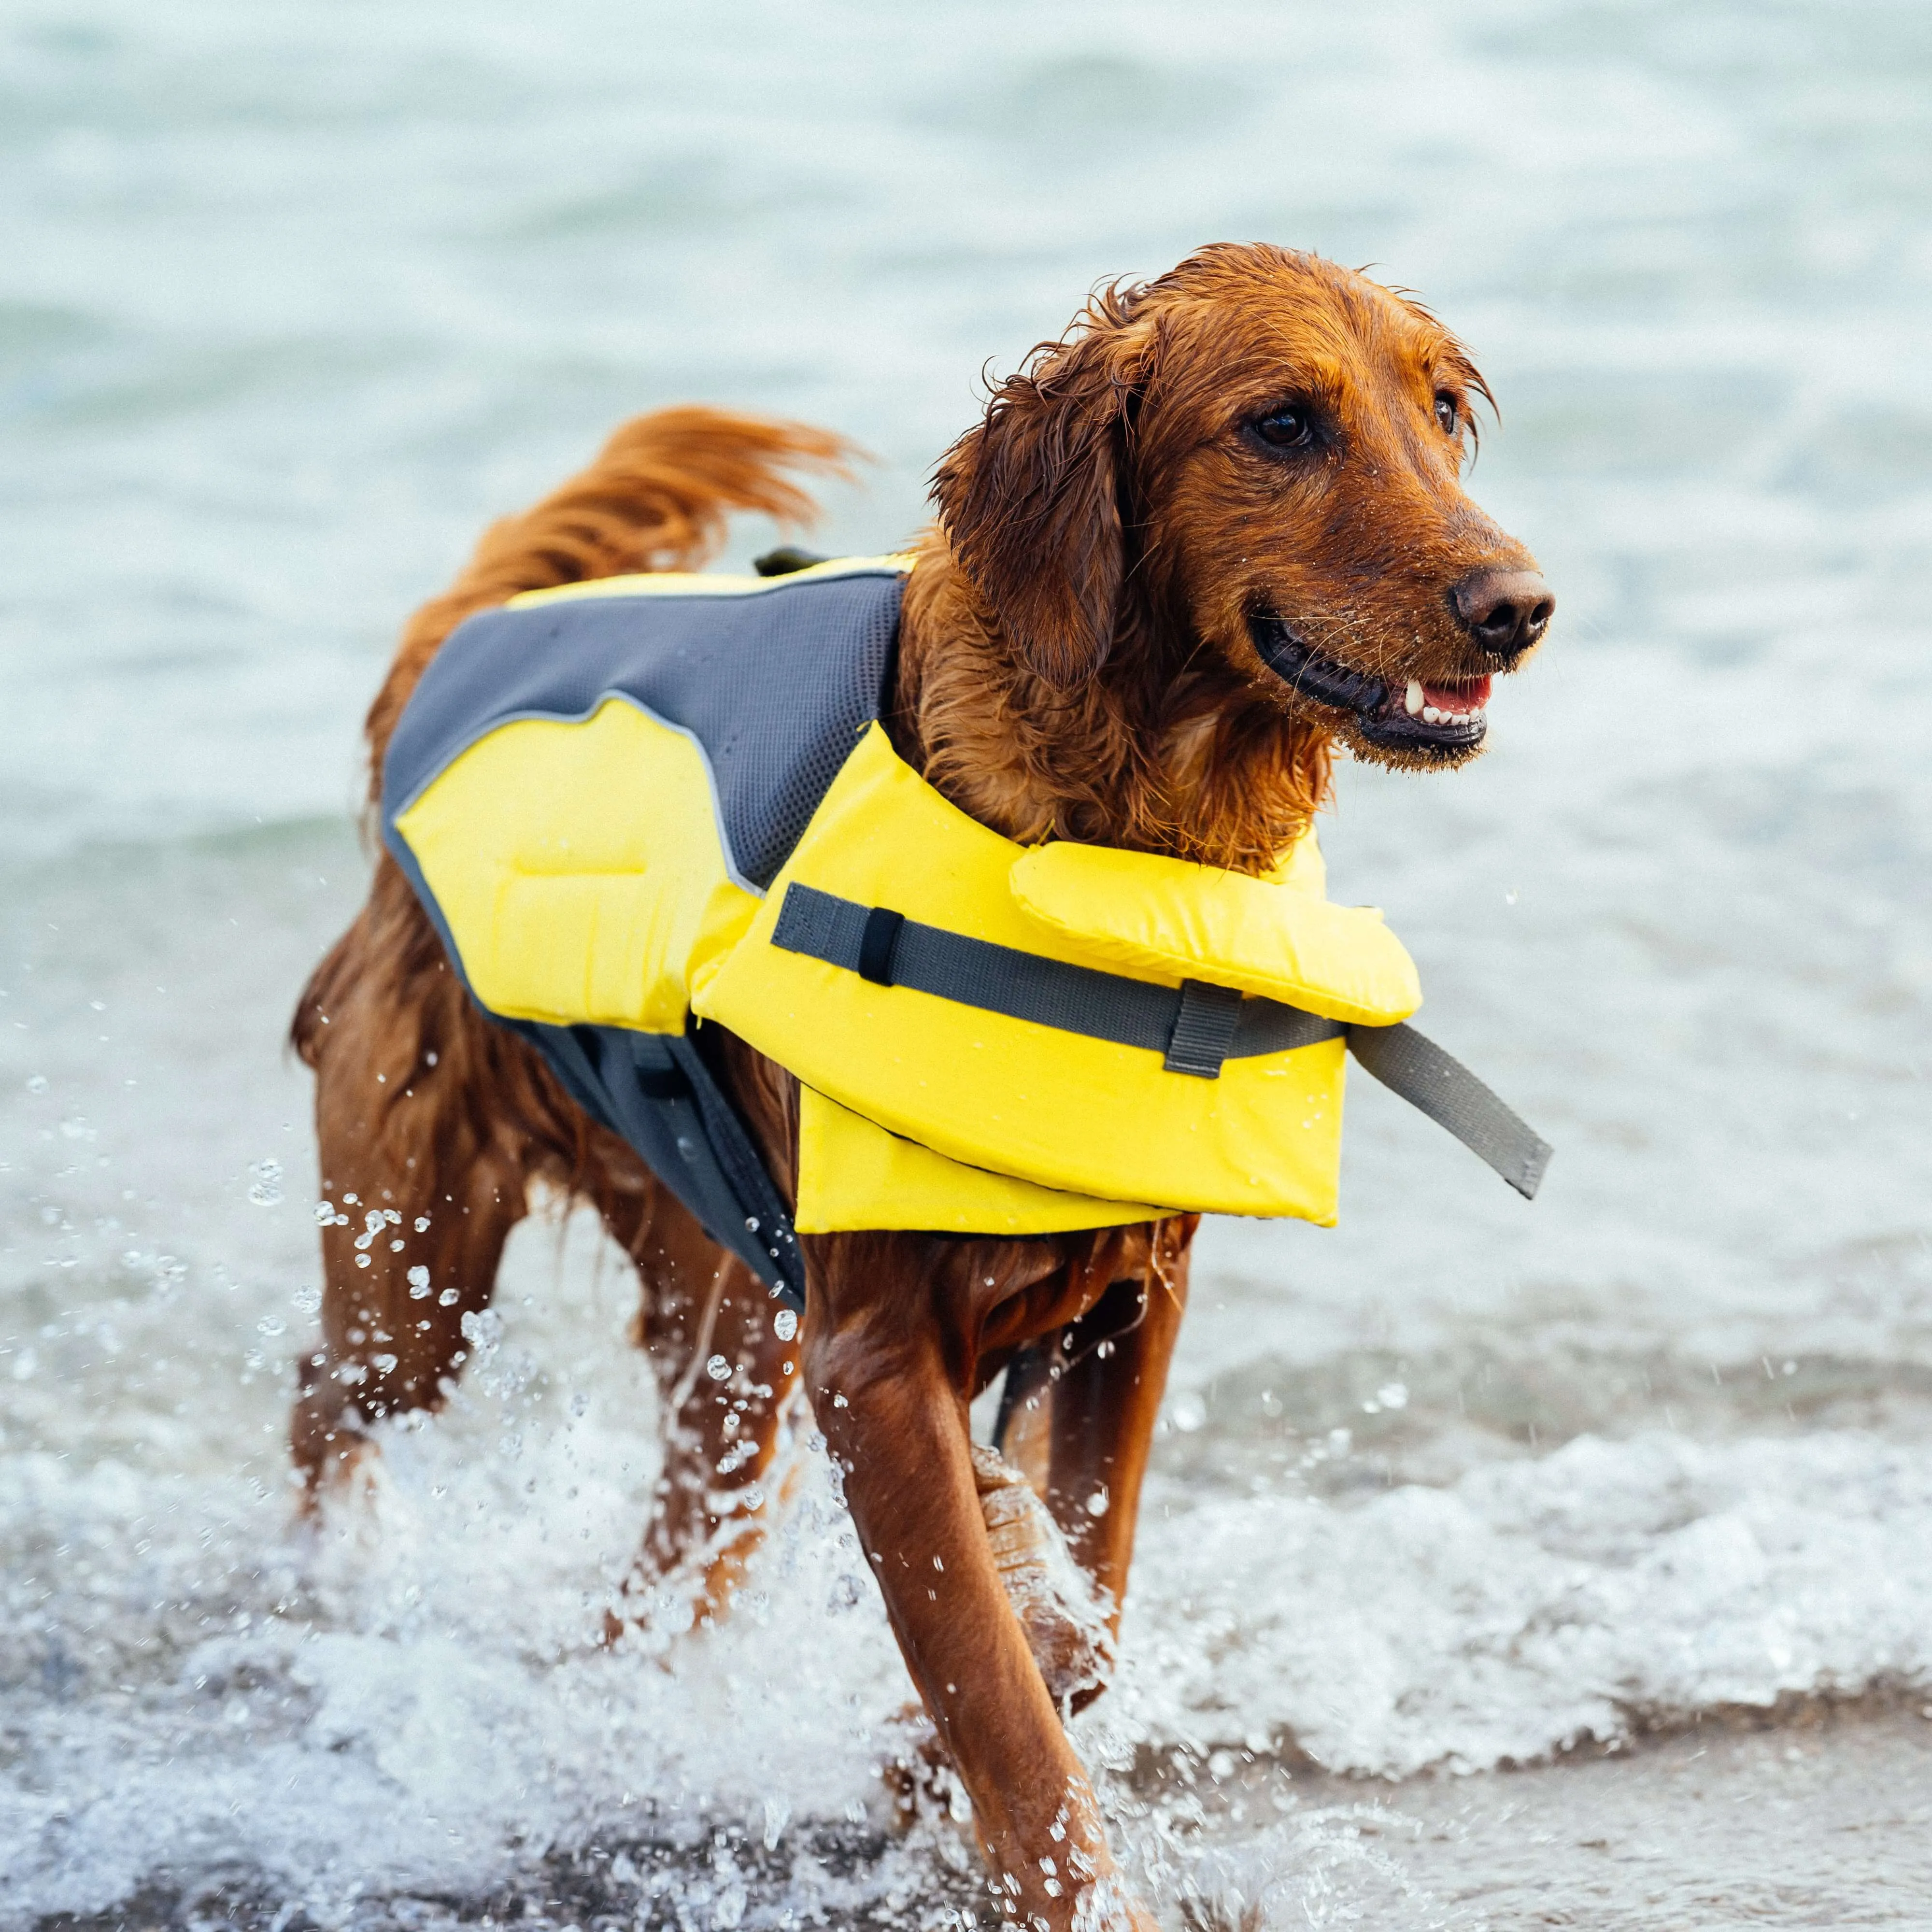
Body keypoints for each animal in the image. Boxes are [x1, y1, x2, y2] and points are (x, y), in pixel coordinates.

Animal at [290, 245, 1553, 1932]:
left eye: (1443, 409)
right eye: (1281, 423)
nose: (1519, 607)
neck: (1110, 841)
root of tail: (447, 662)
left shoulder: (1129, 1302)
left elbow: (1073, 1615)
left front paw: (923, 1752)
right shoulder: (874, 1360)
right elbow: (1007, 1703)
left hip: (729, 1332)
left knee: (670, 1554)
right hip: (418, 1263)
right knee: (330, 1399)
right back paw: (324, 1607)